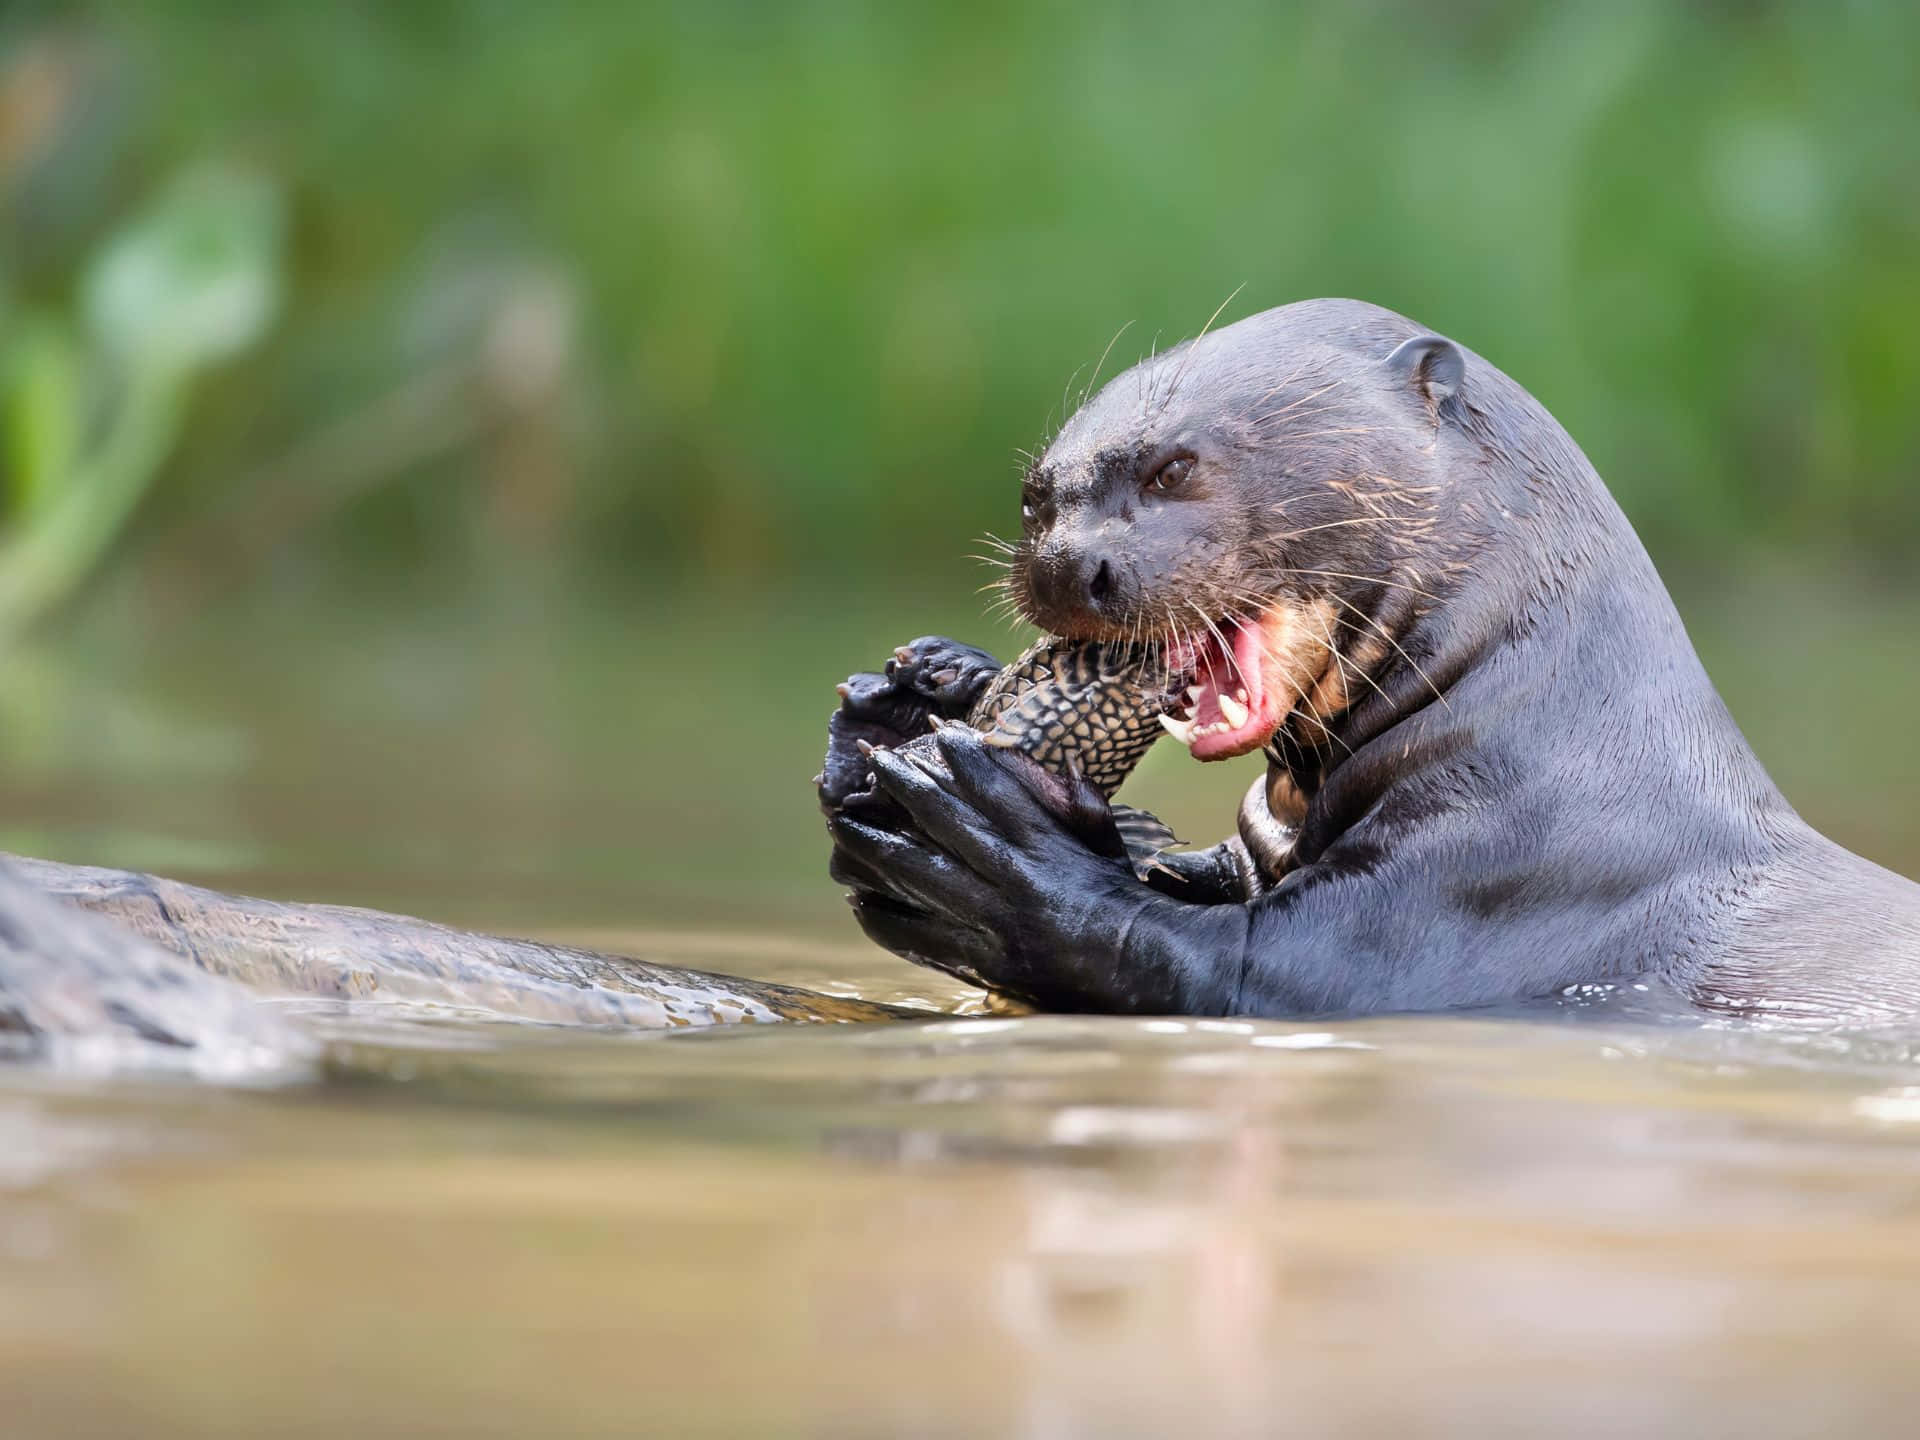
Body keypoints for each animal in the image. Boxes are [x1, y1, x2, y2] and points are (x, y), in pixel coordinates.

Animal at [817, 293, 1920, 1021]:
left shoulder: (1491, 884)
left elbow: (1231, 966)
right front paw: (911, 694)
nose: (1062, 562)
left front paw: (990, 850)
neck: (1554, 740)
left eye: (1175, 467)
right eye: (1035, 498)